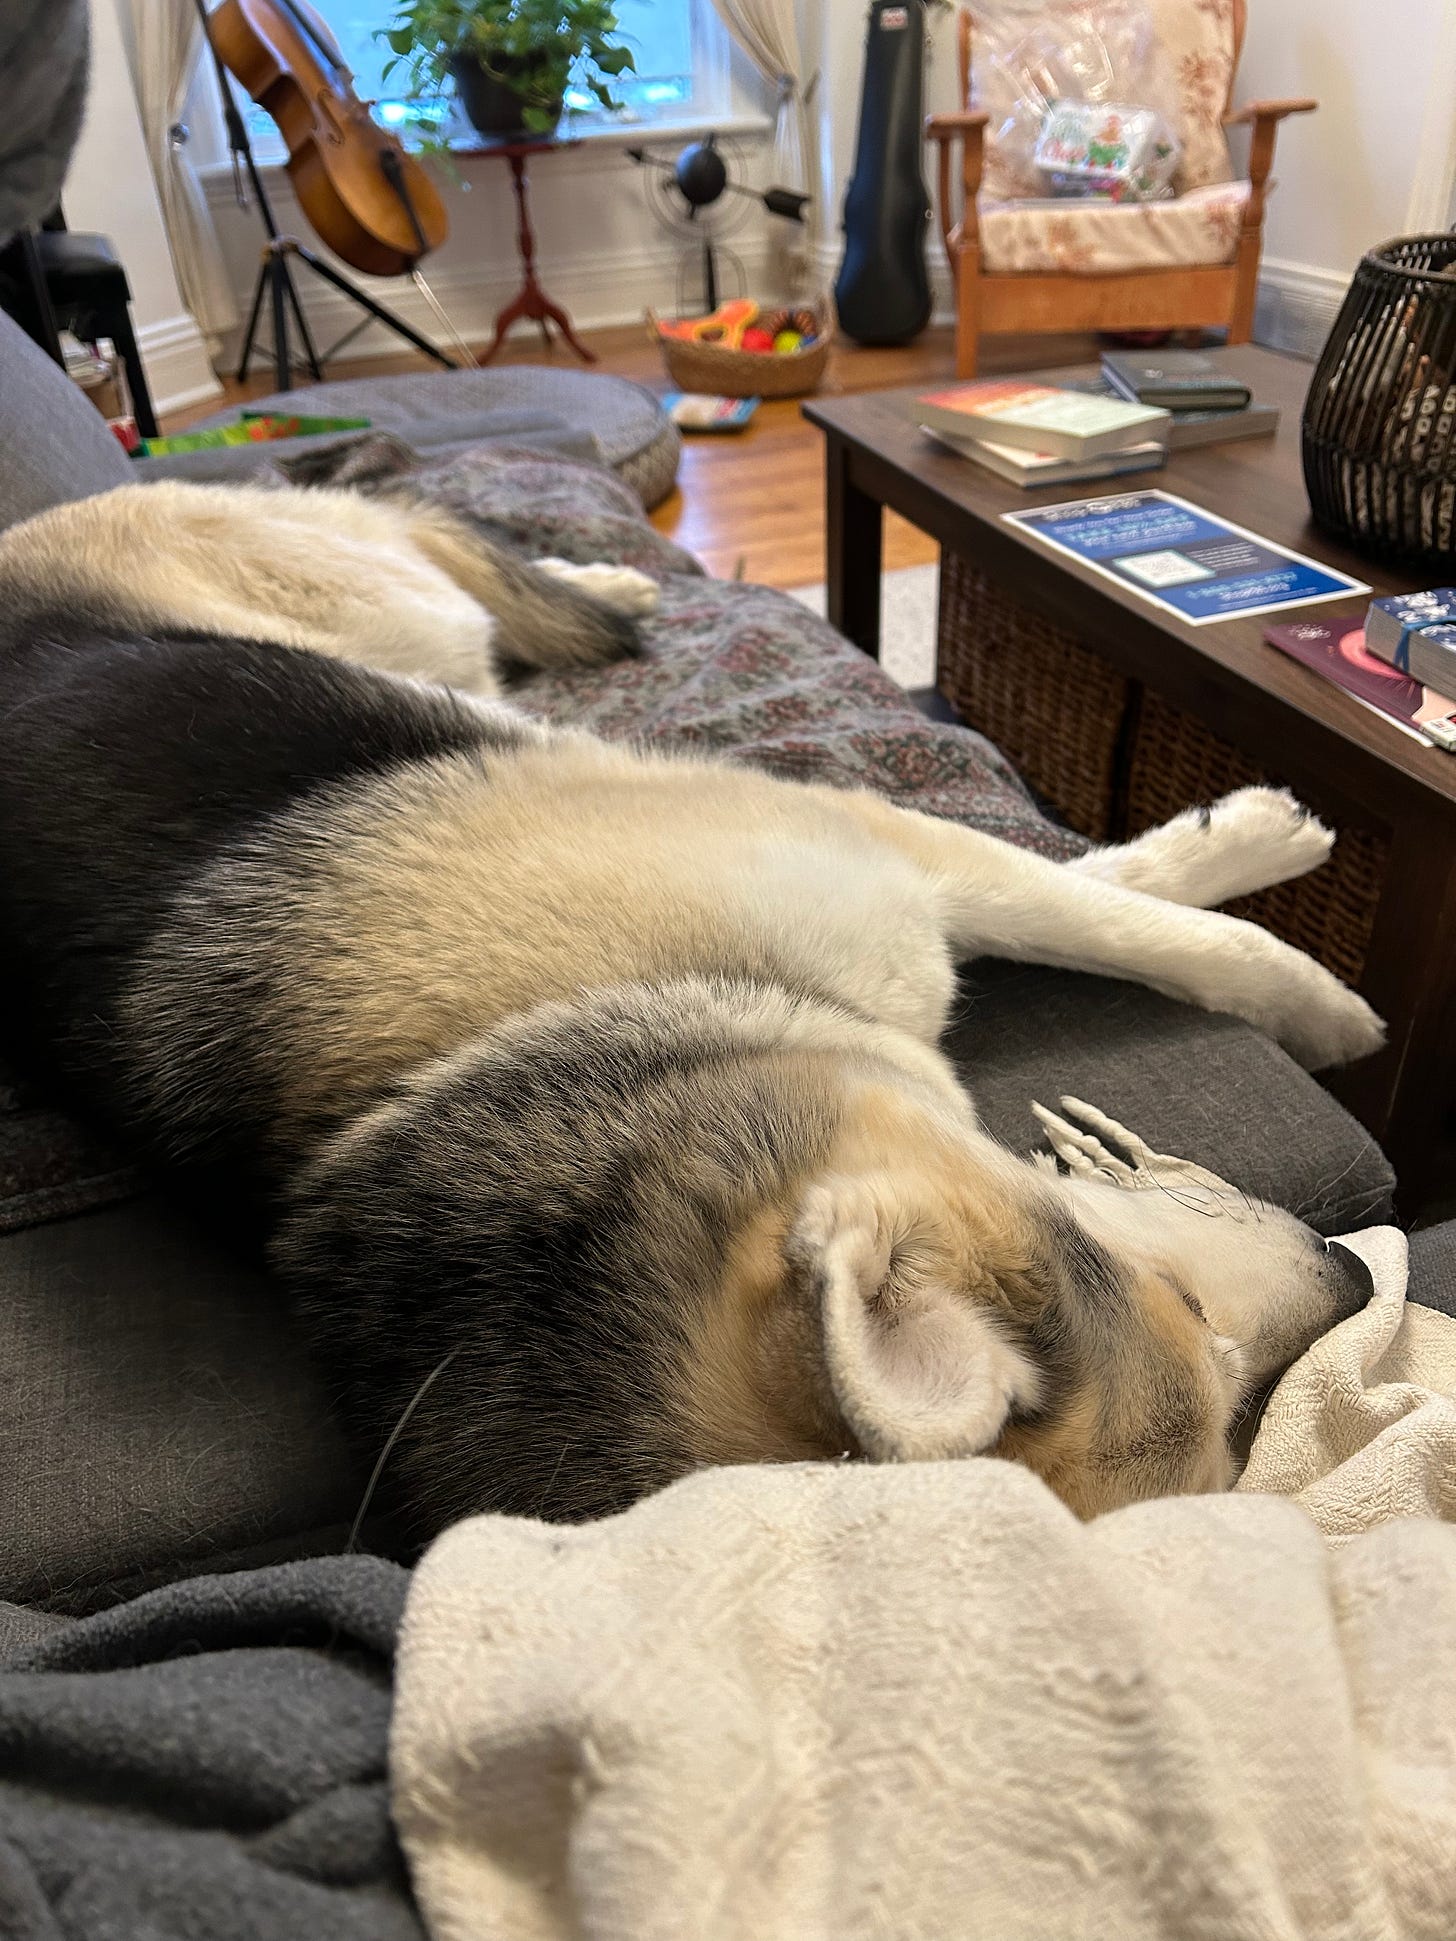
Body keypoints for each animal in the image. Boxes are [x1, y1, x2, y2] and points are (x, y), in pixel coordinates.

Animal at [0, 481, 1382, 1529]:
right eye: (1202, 1340)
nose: (1355, 1278)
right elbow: (1115, 913)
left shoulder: (872, 847)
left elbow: (1134, 915)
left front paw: (1300, 961)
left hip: (387, 610)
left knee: (432, 546)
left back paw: (605, 583)